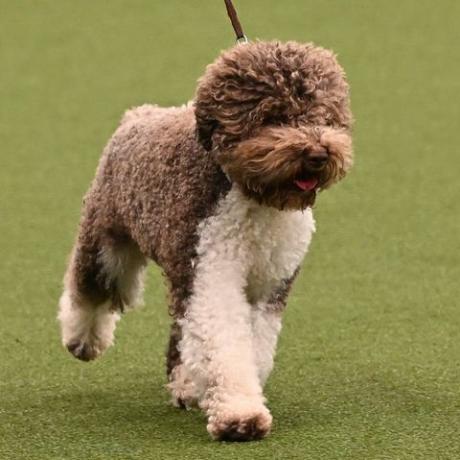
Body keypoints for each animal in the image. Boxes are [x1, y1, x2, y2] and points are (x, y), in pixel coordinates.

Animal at [57, 41, 352, 440]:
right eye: (273, 116)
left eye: (323, 114)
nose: (318, 154)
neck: (256, 198)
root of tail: (138, 115)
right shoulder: (210, 269)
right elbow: (225, 342)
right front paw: (240, 414)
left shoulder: (271, 283)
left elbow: (254, 347)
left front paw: (224, 395)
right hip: (107, 240)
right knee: (91, 289)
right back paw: (83, 342)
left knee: (180, 333)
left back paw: (185, 384)